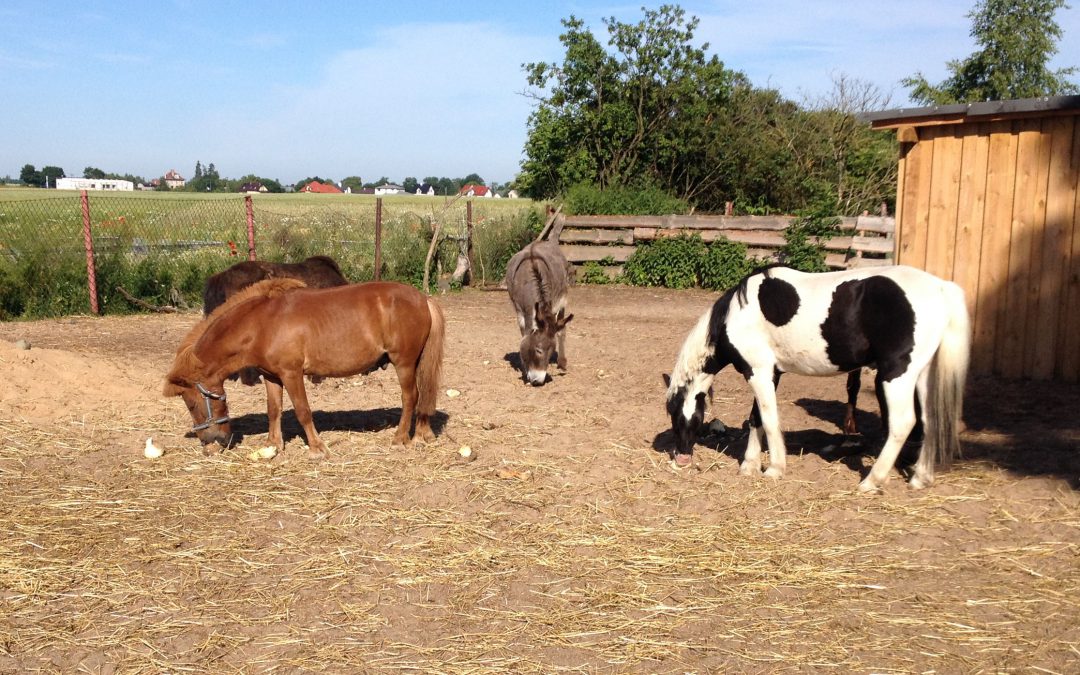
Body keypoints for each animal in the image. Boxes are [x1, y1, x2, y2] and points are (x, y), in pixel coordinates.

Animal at [164, 278, 442, 457]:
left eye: (191, 404)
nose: (209, 445)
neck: (261, 324)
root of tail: (423, 298)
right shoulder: (271, 377)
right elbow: (274, 410)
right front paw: (274, 444)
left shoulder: (292, 374)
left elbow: (303, 411)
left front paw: (317, 448)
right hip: (416, 362)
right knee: (423, 395)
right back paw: (422, 434)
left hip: (403, 362)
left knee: (410, 397)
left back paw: (400, 438)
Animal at [660, 265, 976, 492]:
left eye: (682, 418)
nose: (682, 457)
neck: (737, 315)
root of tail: (940, 287)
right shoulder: (770, 373)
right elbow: (755, 418)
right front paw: (749, 465)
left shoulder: (758, 371)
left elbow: (769, 419)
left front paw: (774, 469)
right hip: (921, 375)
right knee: (930, 420)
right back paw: (920, 478)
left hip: (896, 375)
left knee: (902, 424)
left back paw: (872, 481)